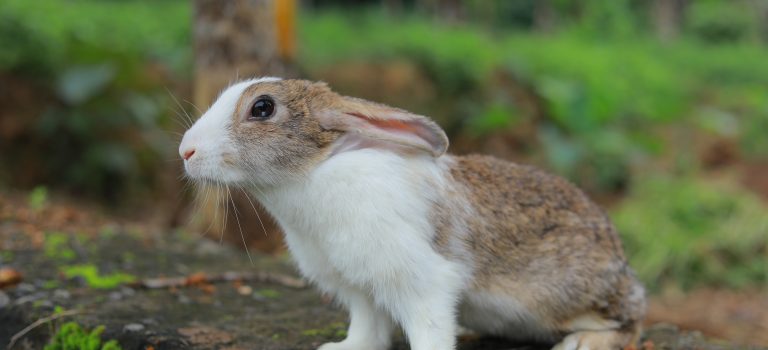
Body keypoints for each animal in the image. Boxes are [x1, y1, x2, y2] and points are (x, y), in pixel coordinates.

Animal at [182, 78, 648, 350]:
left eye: (262, 108)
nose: (186, 151)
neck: (315, 171)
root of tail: (621, 264)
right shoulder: (357, 288)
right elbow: (367, 328)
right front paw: (342, 349)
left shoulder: (420, 279)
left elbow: (429, 327)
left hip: (564, 298)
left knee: (631, 322)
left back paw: (582, 342)